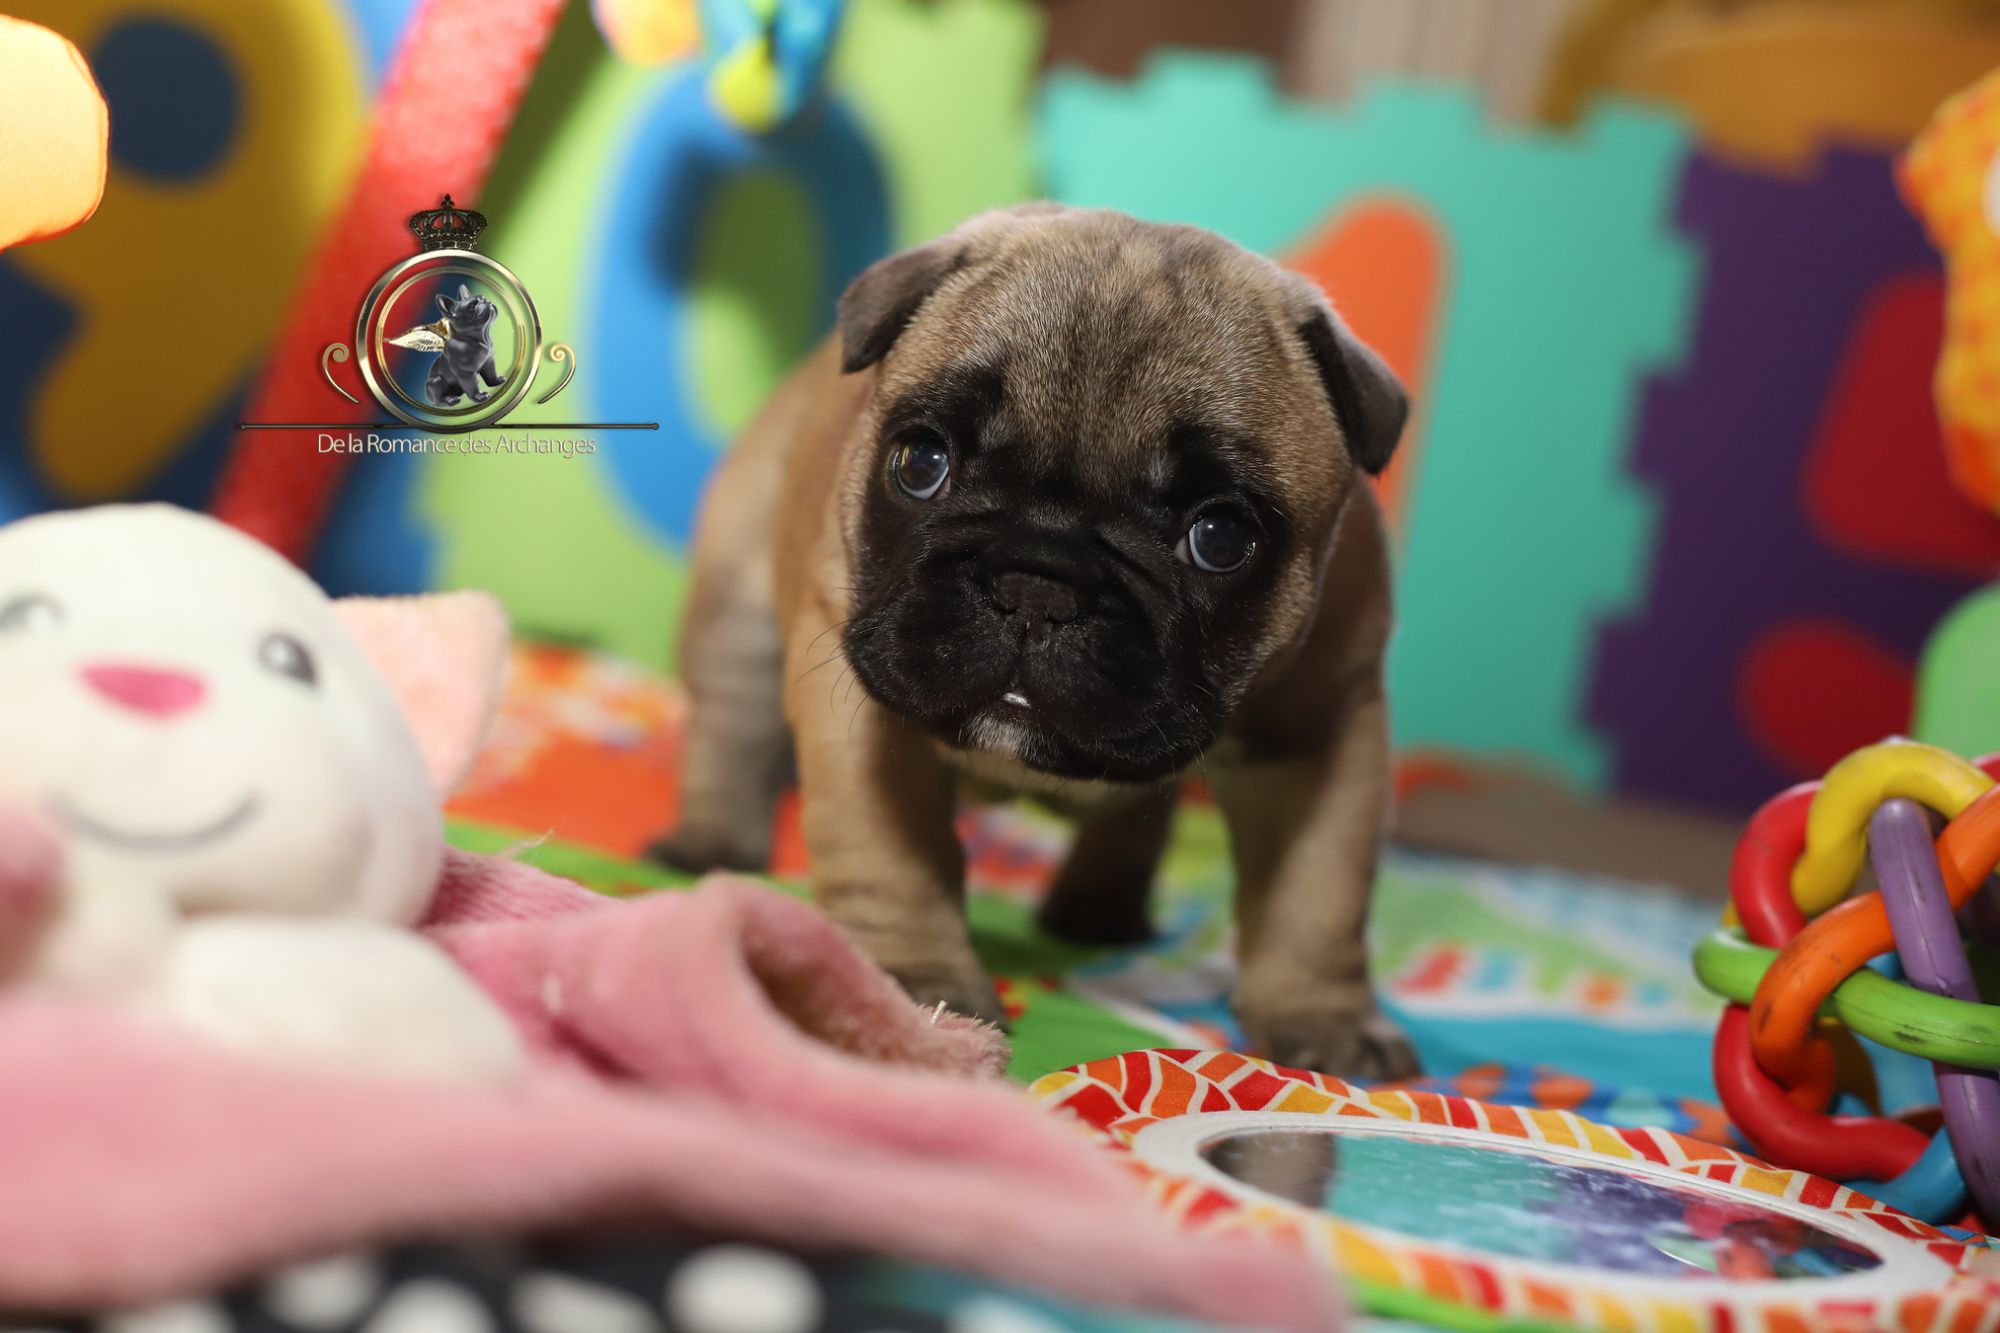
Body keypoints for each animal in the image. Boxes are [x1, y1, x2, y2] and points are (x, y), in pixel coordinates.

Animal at [652, 204, 1415, 1078]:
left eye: (1220, 537)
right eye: (921, 462)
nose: (1038, 583)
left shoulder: (1323, 734)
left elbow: (1315, 894)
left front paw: (1324, 1016)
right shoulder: (858, 706)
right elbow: (887, 852)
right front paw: (905, 985)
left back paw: (1099, 904)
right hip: (736, 606)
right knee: (732, 723)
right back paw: (711, 841)